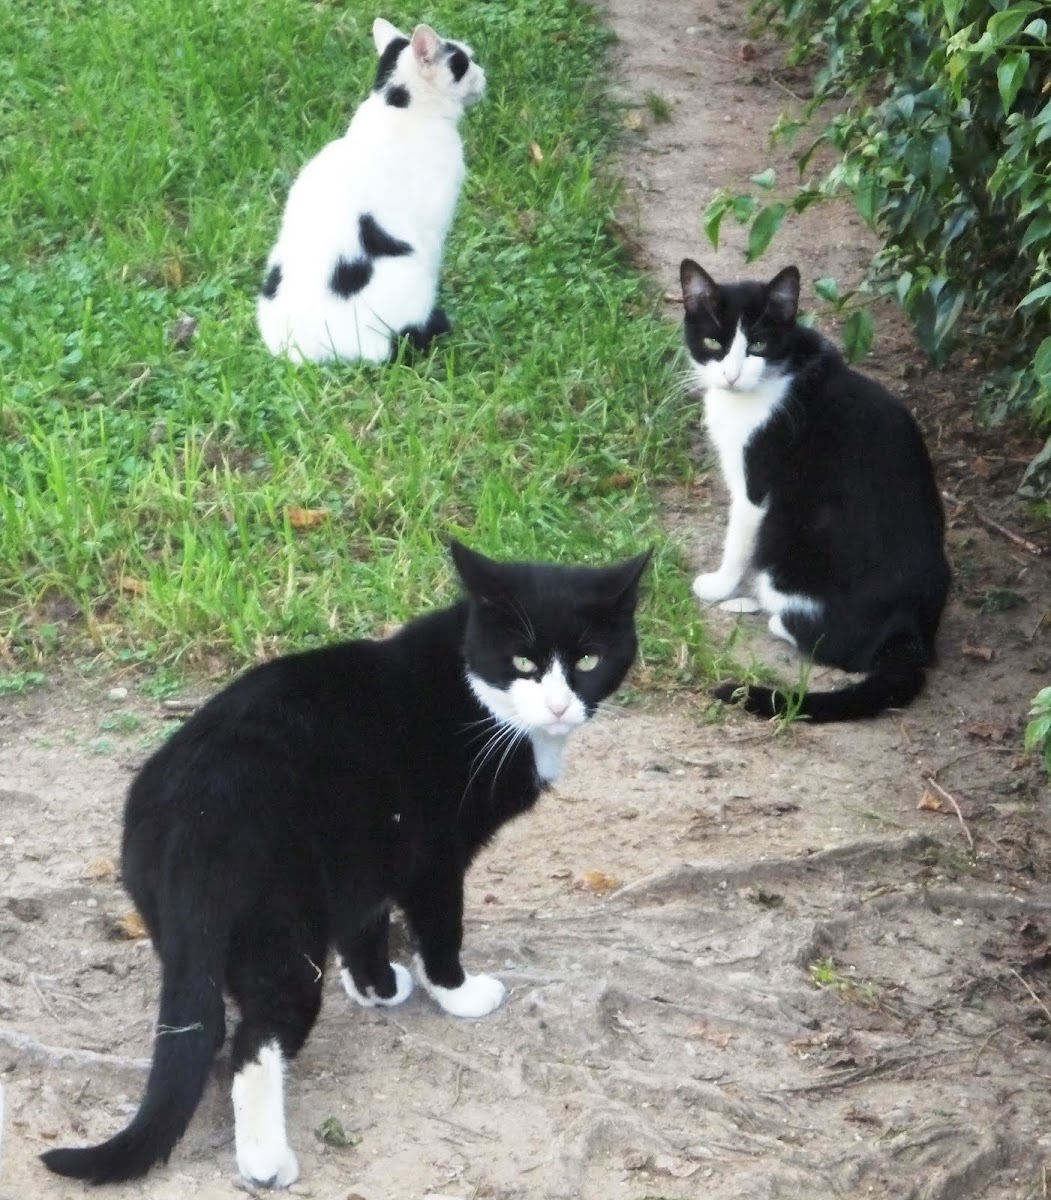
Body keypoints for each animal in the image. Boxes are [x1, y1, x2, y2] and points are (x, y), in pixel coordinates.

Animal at [41, 544, 647, 1190]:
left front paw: (377, 988)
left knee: (214, 1025)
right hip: (283, 936)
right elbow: (441, 931)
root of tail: (191, 815)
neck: (479, 701)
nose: (559, 706)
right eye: (524, 662)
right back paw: (266, 1161)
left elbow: (365, 926)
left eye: (588, 660)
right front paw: (457, 993)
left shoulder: (369, 857)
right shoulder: (434, 857)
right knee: (255, 1039)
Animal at [681, 261, 950, 720]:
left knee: (838, 649)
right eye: (713, 341)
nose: (731, 375)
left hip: (787, 547)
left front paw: (720, 586)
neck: (784, 369)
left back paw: (767, 613)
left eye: (759, 343)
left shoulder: (755, 485)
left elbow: (738, 540)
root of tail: (911, 636)